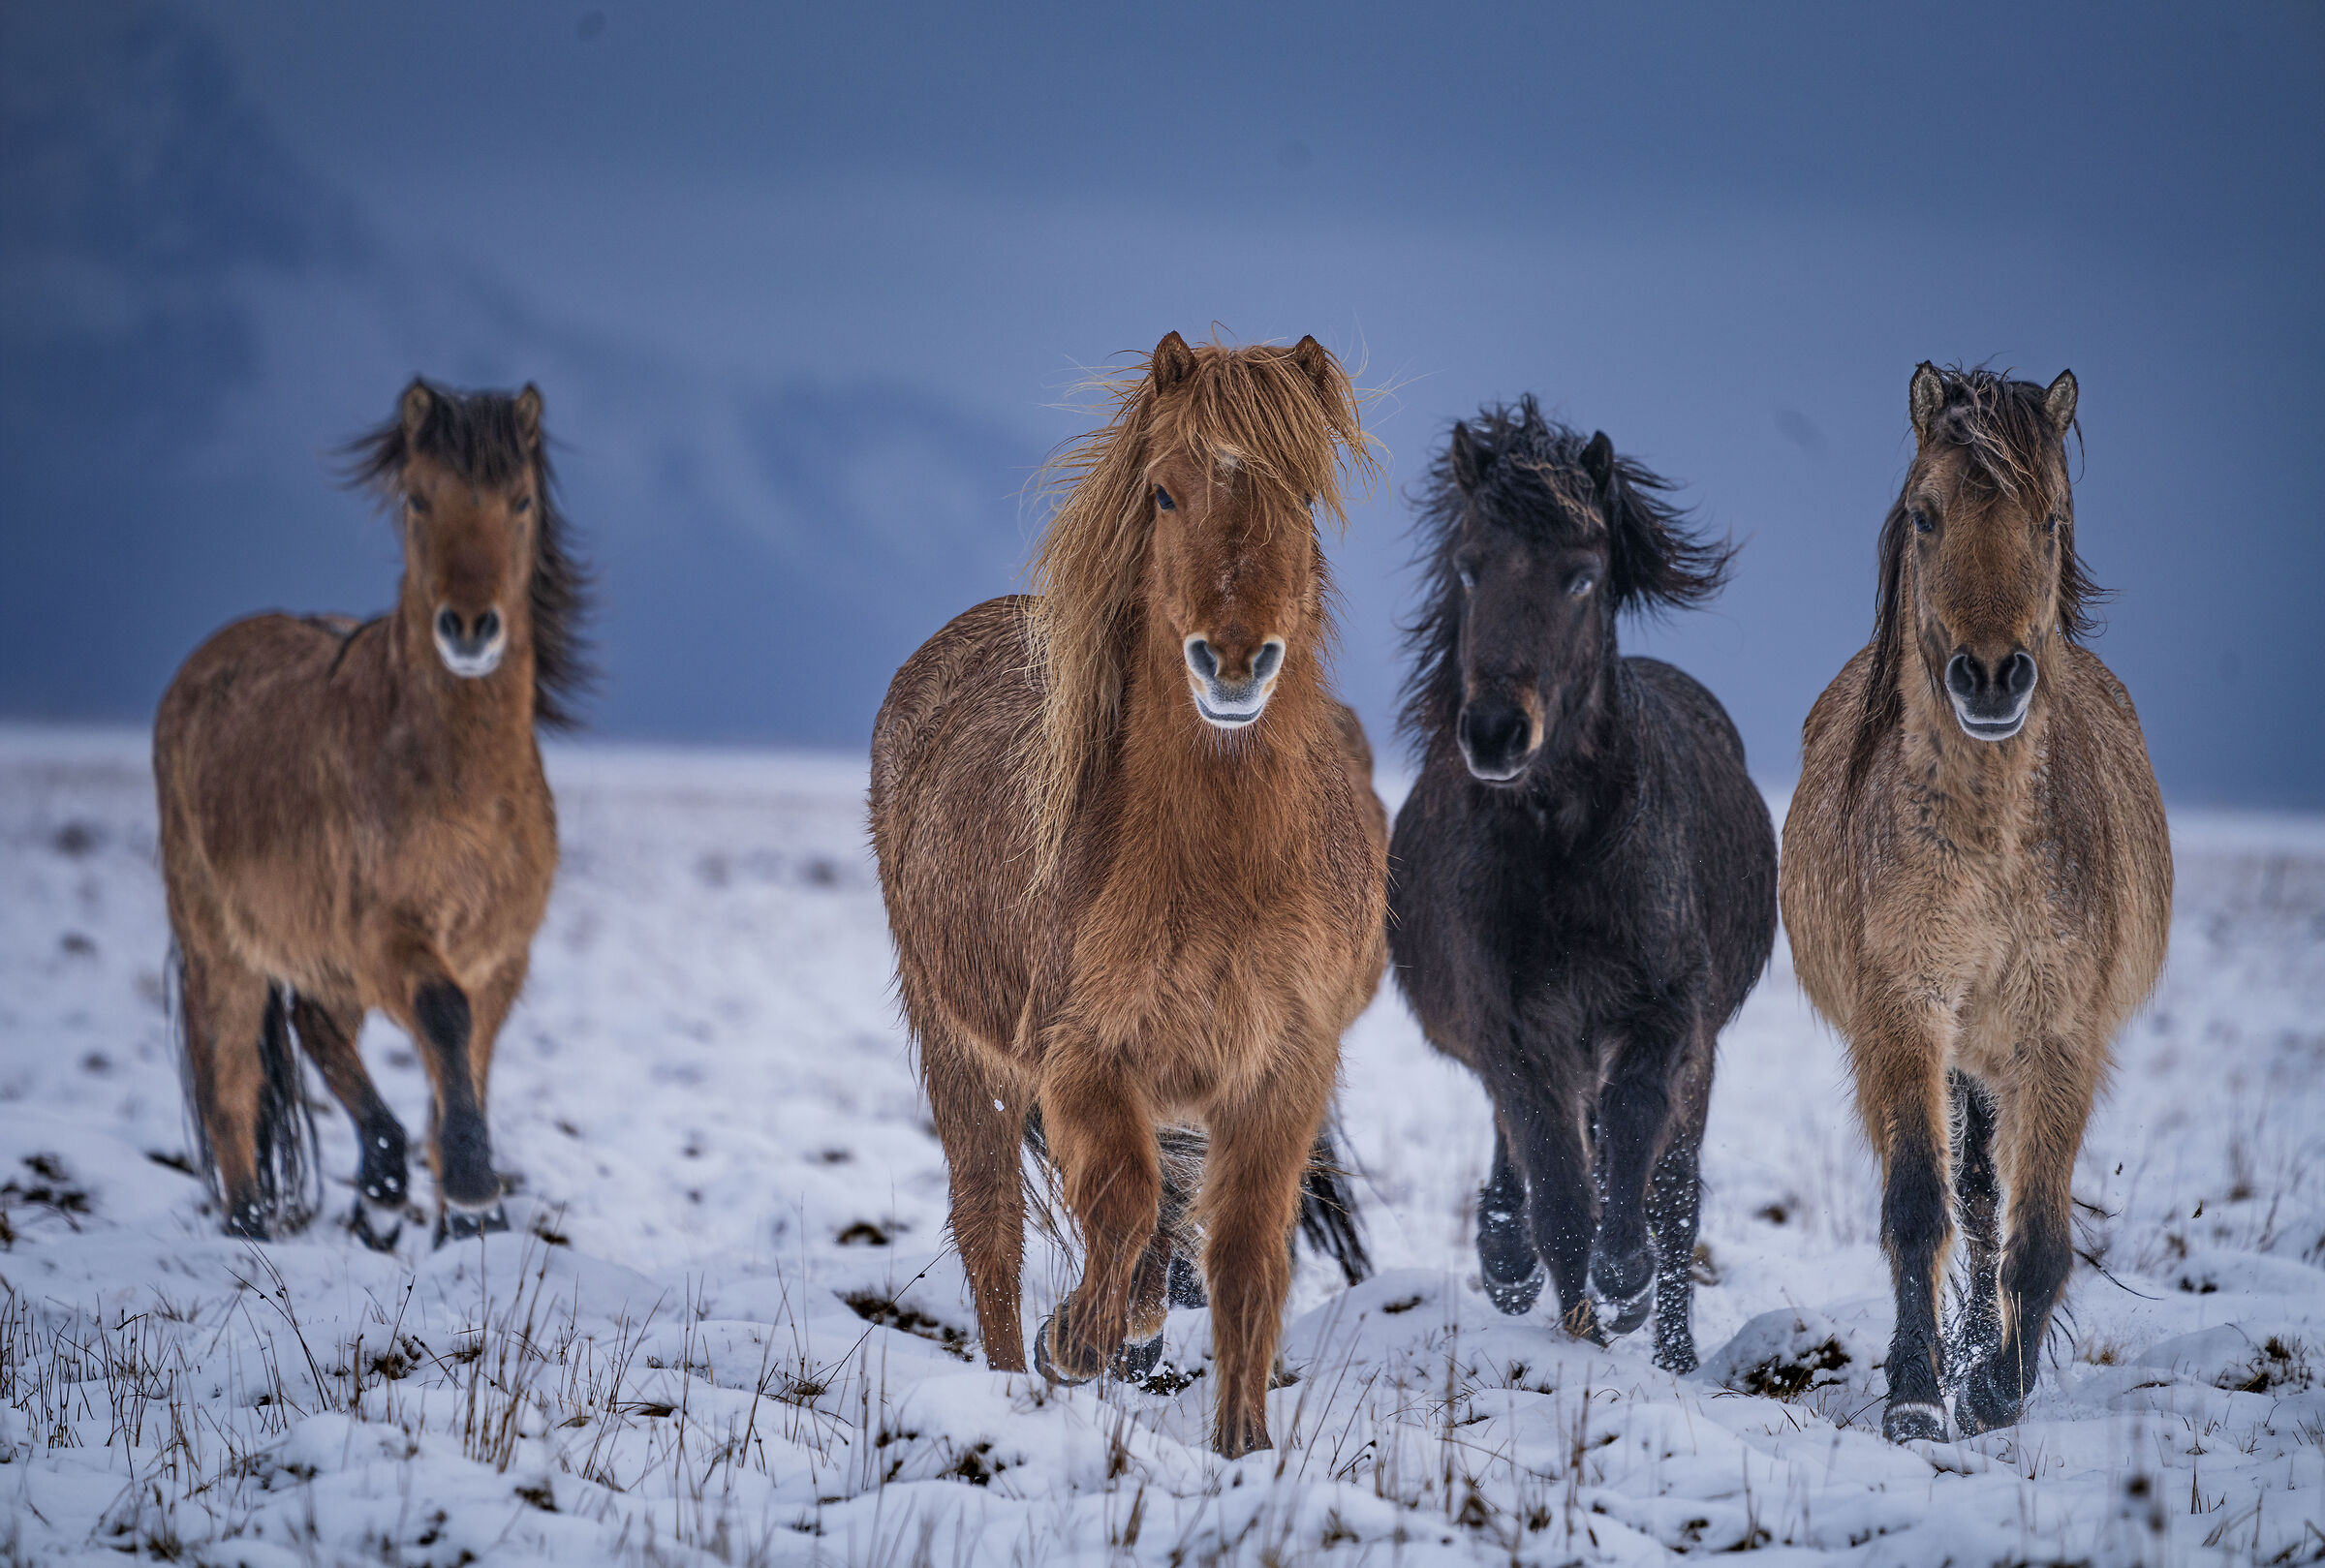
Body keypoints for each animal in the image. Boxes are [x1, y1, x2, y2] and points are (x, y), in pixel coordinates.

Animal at [154, 379, 588, 1249]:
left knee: (316, 1026)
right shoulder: (390, 936)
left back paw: (381, 1184)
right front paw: (475, 1191)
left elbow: (468, 1057)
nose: (469, 627)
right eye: (419, 498)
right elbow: (445, 1020)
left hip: (322, 960)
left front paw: (469, 1220)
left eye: (520, 500)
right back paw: (251, 1223)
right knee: (230, 1074)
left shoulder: (501, 953)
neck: (463, 783)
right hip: (221, 944)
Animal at [870, 332, 1385, 1457]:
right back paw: (1015, 1381)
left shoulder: (1281, 1069)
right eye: (1163, 492)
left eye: (1301, 496)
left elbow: (1245, 1256)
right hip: (959, 1048)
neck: (1220, 868)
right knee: (993, 1228)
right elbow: (1118, 1203)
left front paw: (1244, 1444)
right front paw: (1077, 1340)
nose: (1232, 661)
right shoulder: (1084, 1055)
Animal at [1387, 399, 1776, 1373]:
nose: (1495, 730)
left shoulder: (1667, 1013)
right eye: (1469, 563)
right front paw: (1578, 1323)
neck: (1565, 848)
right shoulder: (1516, 1027)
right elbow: (1560, 1193)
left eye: (1582, 577)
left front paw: (1627, 1279)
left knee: (1673, 1187)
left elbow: (1638, 1147)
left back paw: (1673, 1349)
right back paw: (1508, 1257)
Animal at [1782, 364, 2170, 1442]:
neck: (1991, 849)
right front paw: (1920, 1391)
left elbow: (2038, 1234)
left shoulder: (2060, 1034)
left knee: (1998, 1199)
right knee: (1972, 1190)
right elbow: (1923, 1205)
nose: (1992, 675)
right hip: (1963, 1052)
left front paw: (1999, 1389)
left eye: (2051, 518)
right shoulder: (1903, 1014)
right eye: (1926, 513)